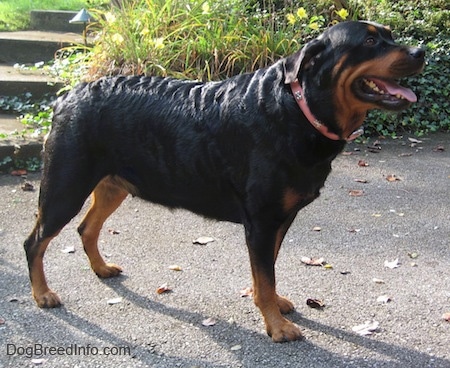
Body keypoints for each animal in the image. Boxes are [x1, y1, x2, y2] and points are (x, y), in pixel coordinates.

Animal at [23, 20, 426, 342]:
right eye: (370, 41)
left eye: (389, 36)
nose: (421, 51)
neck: (296, 110)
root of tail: (70, 95)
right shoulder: (262, 220)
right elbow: (266, 275)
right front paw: (276, 325)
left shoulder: (279, 219)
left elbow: (267, 269)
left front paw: (270, 301)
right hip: (65, 187)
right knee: (35, 242)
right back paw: (42, 294)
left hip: (112, 185)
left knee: (86, 228)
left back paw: (101, 268)